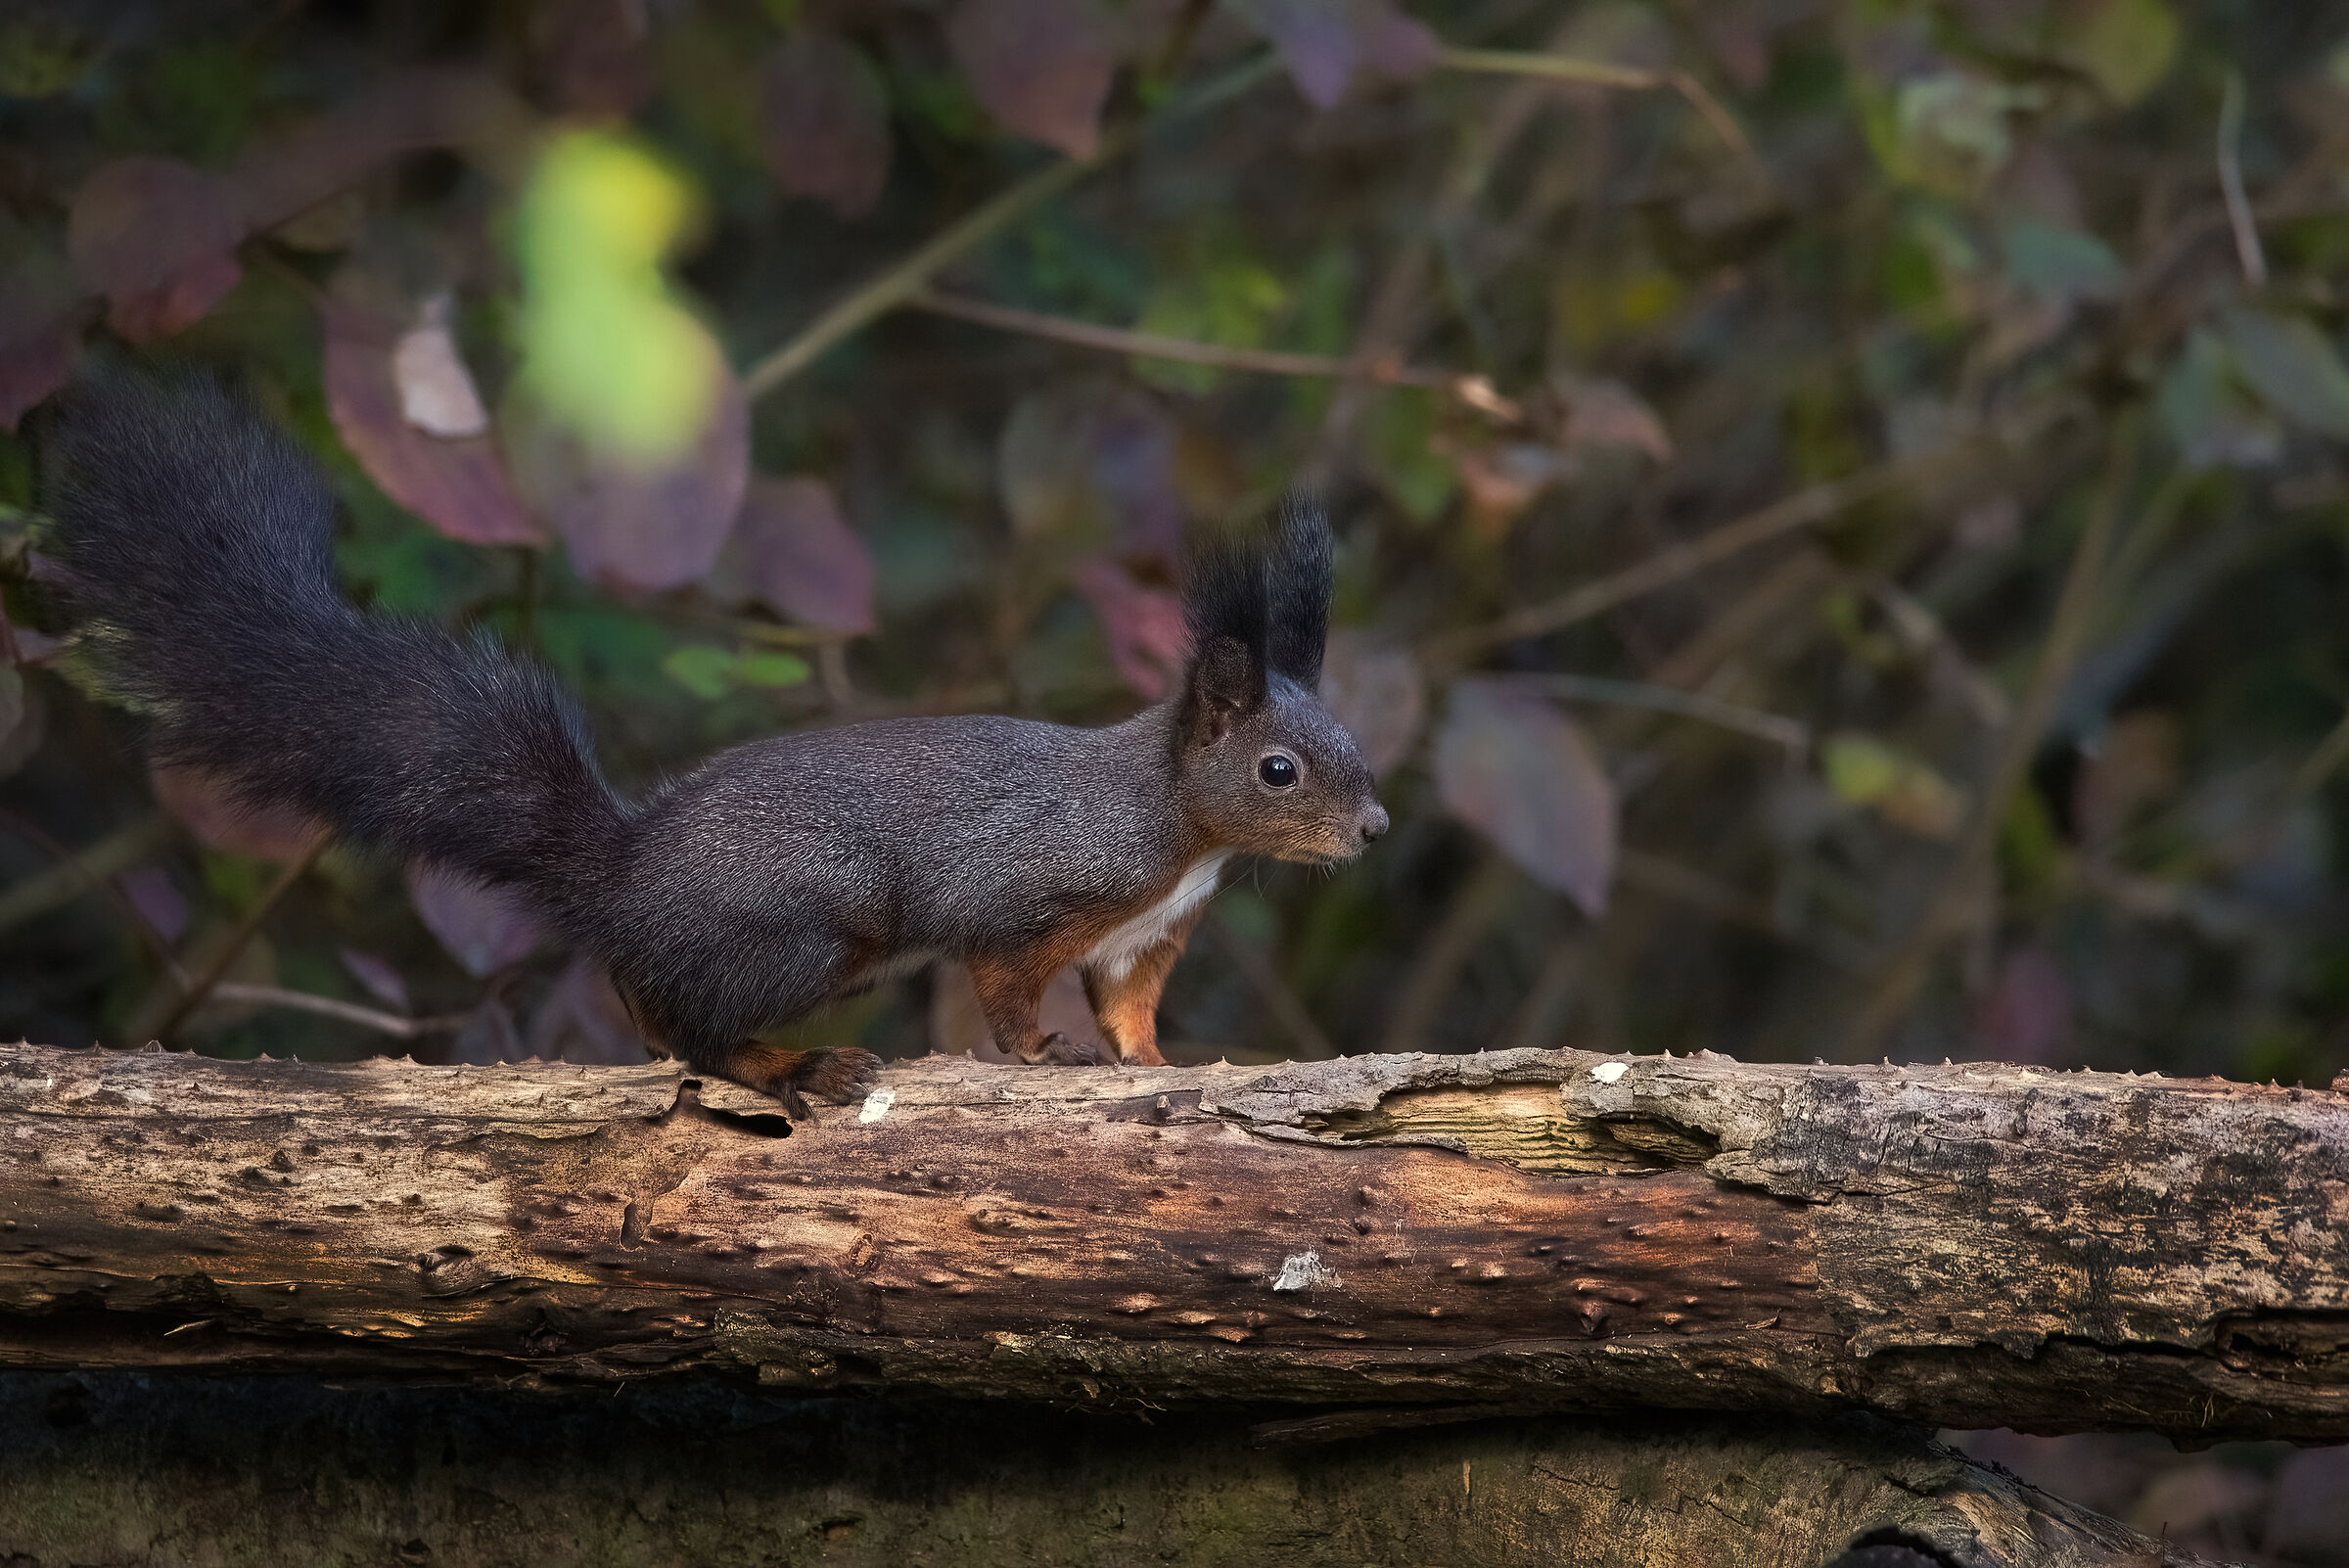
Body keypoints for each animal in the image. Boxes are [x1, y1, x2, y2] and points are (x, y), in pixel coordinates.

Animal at [38, 373, 1388, 1113]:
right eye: (1279, 770)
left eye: (1350, 740)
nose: (1373, 829)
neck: (1181, 832)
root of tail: (622, 878)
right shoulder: (1029, 894)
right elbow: (1008, 987)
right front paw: (1042, 1059)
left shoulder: (1144, 939)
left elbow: (1132, 1012)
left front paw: (1157, 1063)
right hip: (812, 930)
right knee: (695, 1024)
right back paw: (785, 1072)